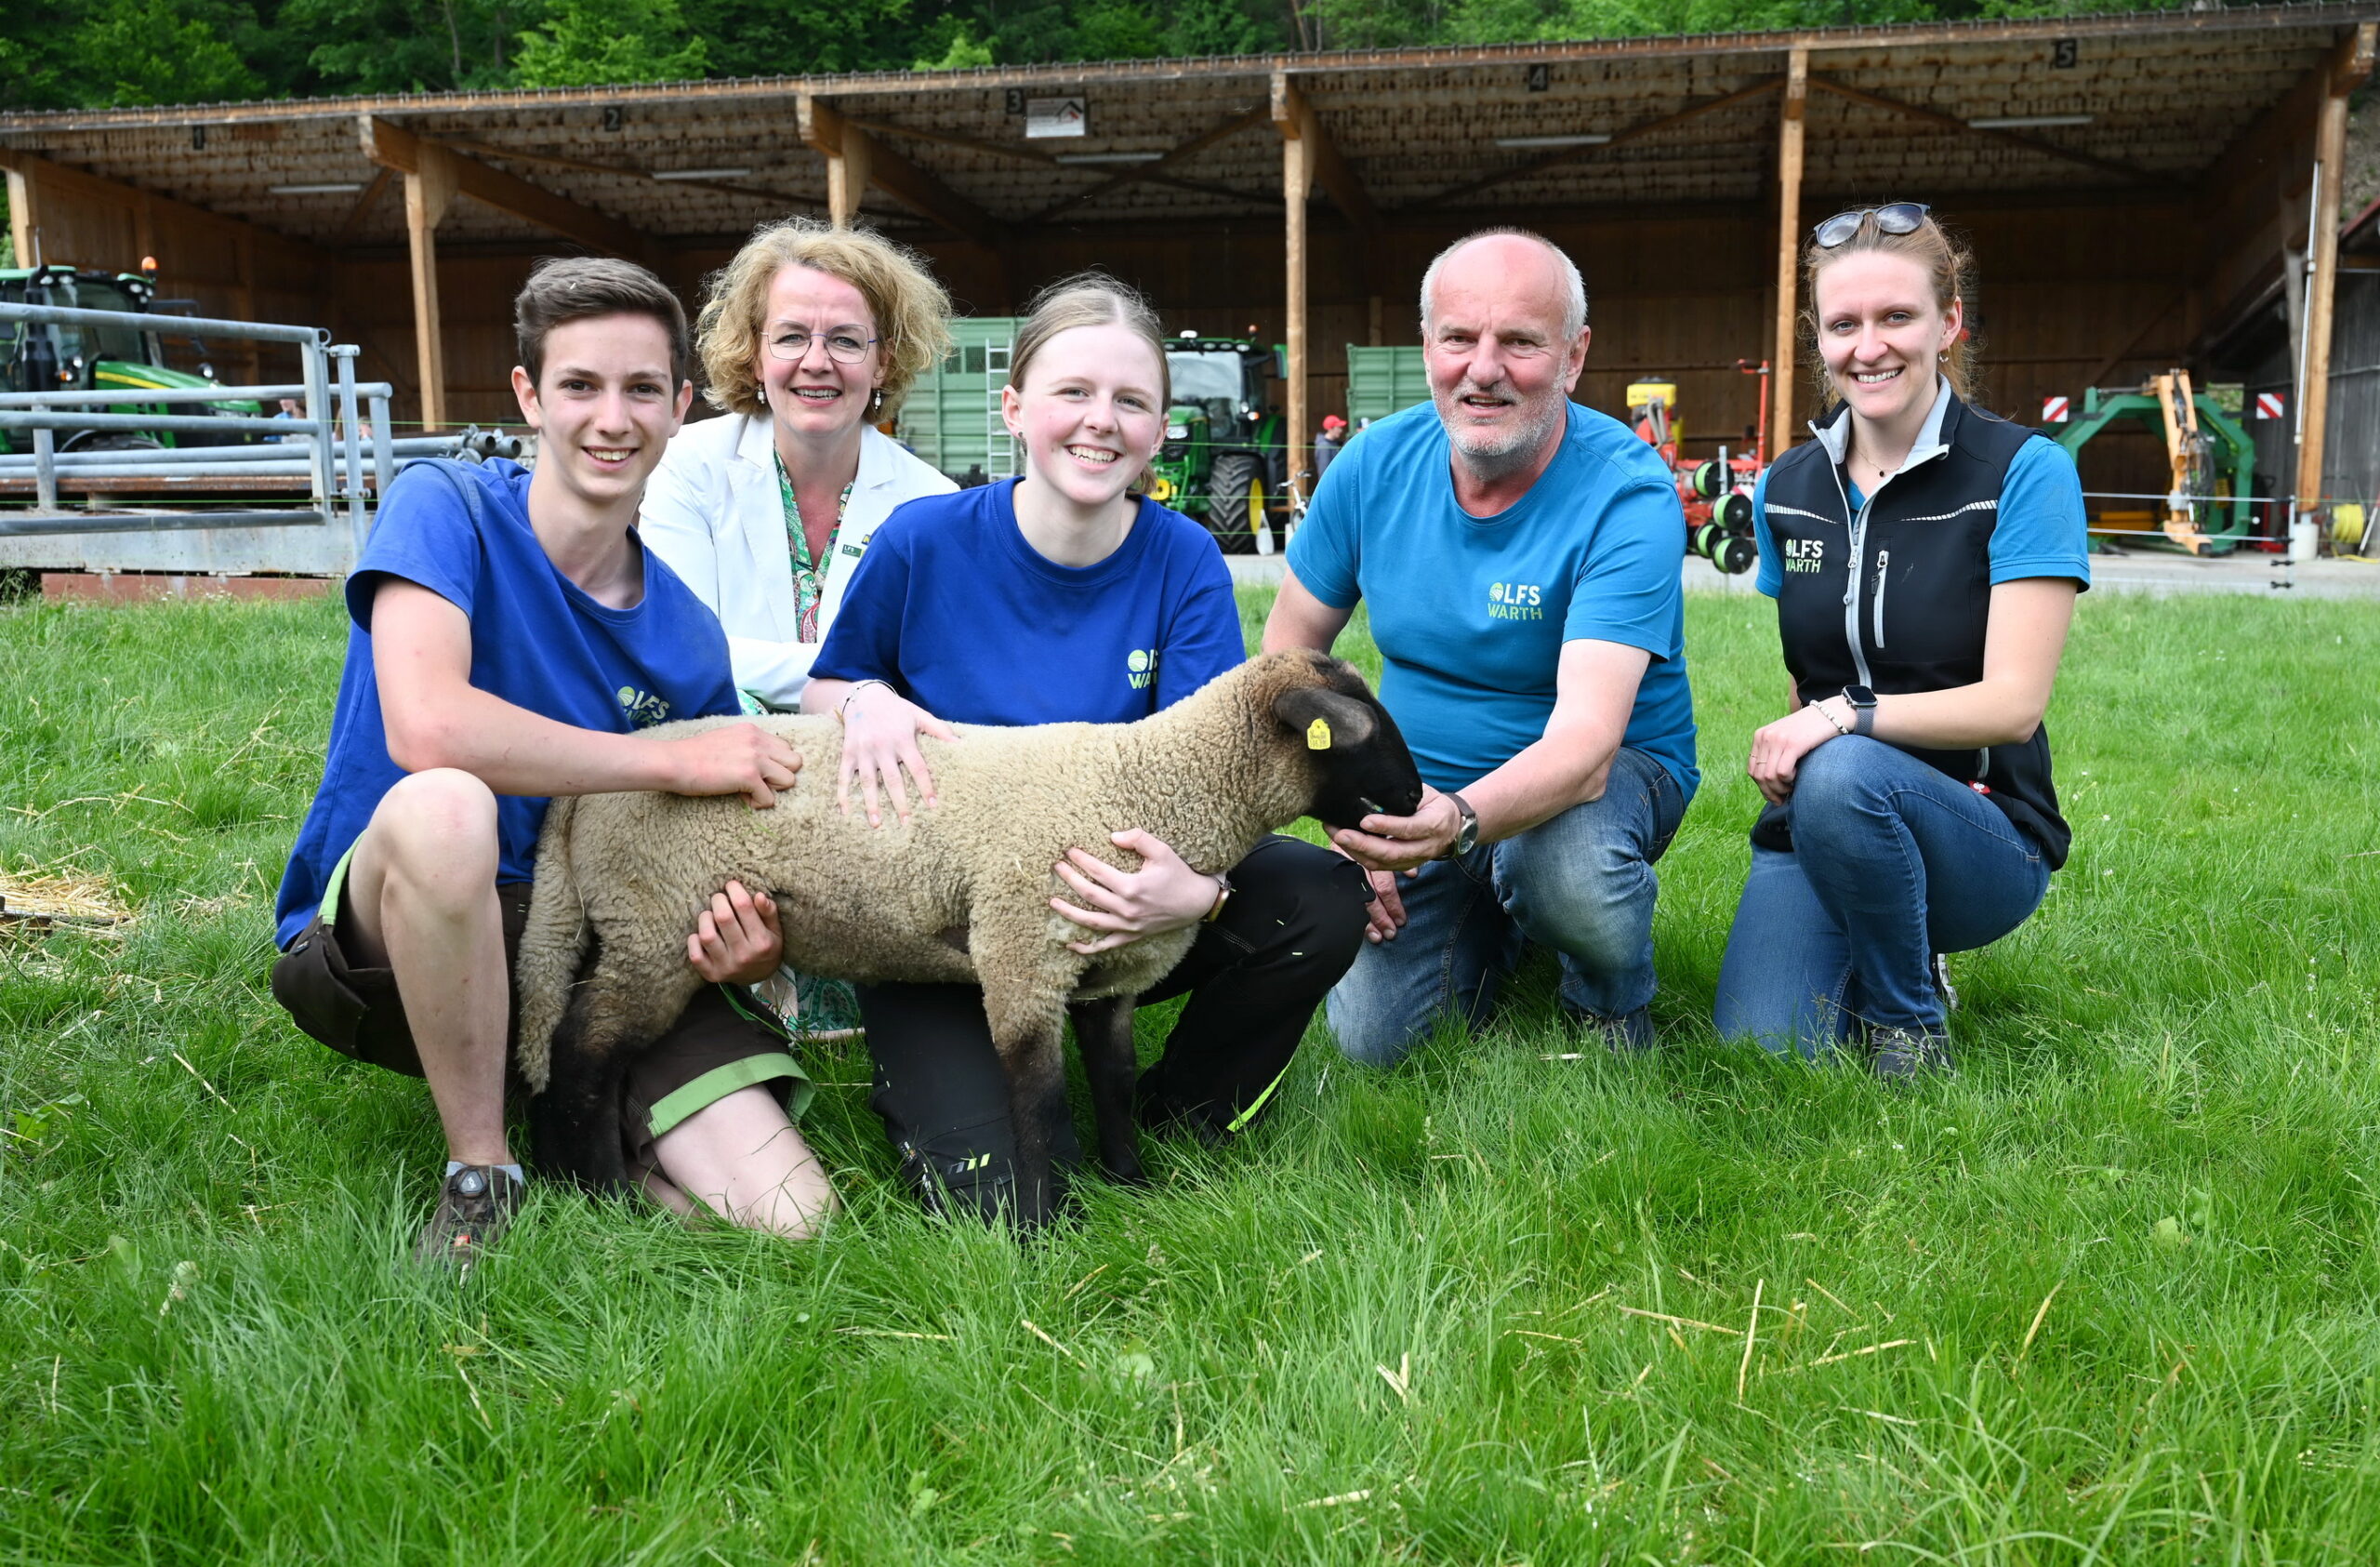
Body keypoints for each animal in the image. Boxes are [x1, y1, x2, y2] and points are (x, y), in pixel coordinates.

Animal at [516, 647, 1408, 1219]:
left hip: (634, 924)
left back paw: (572, 1183)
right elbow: (1039, 1104)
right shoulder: (1020, 955)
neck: (1141, 787)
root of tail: (592, 781)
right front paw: (1052, 1227)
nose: (1416, 796)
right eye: (1362, 729)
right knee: (583, 1047)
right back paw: (606, 1195)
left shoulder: (1107, 977)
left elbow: (1114, 1084)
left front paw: (1132, 1183)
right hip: (655, 922)